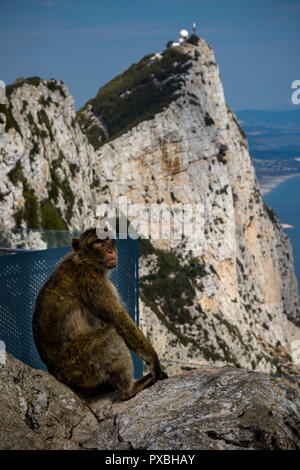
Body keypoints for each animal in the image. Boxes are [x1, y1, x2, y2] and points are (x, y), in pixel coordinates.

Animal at [34, 228, 168, 400]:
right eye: (98, 242)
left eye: (107, 240)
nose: (109, 250)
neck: (85, 262)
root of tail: (54, 373)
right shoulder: (91, 280)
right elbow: (118, 319)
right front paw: (154, 361)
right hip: (78, 366)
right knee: (110, 335)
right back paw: (129, 389)